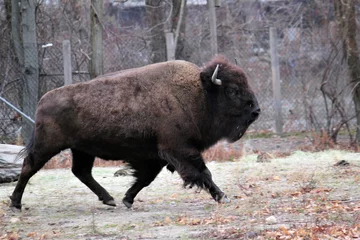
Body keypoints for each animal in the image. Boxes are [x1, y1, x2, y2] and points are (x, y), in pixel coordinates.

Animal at [9, 55, 260, 209]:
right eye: (233, 90)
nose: (256, 110)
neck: (200, 93)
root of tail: (42, 100)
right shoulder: (179, 149)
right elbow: (202, 173)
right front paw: (223, 197)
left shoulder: (157, 155)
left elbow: (145, 178)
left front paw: (127, 199)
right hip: (47, 145)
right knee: (29, 167)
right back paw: (15, 203)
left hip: (82, 149)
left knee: (81, 171)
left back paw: (109, 199)